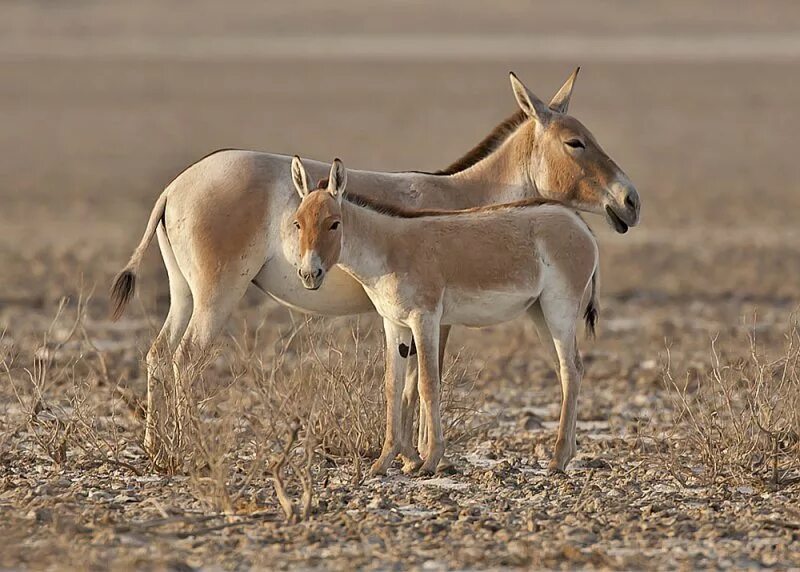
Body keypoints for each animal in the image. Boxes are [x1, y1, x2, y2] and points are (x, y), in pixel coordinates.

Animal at [290, 155, 596, 474]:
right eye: (298, 223)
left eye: (333, 224)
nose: (309, 274)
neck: (387, 250)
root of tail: (577, 220)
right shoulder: (393, 323)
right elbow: (392, 388)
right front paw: (384, 461)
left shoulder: (424, 319)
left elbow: (427, 384)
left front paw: (431, 459)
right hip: (540, 312)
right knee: (566, 369)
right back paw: (567, 453)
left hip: (559, 307)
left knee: (571, 370)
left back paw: (558, 459)